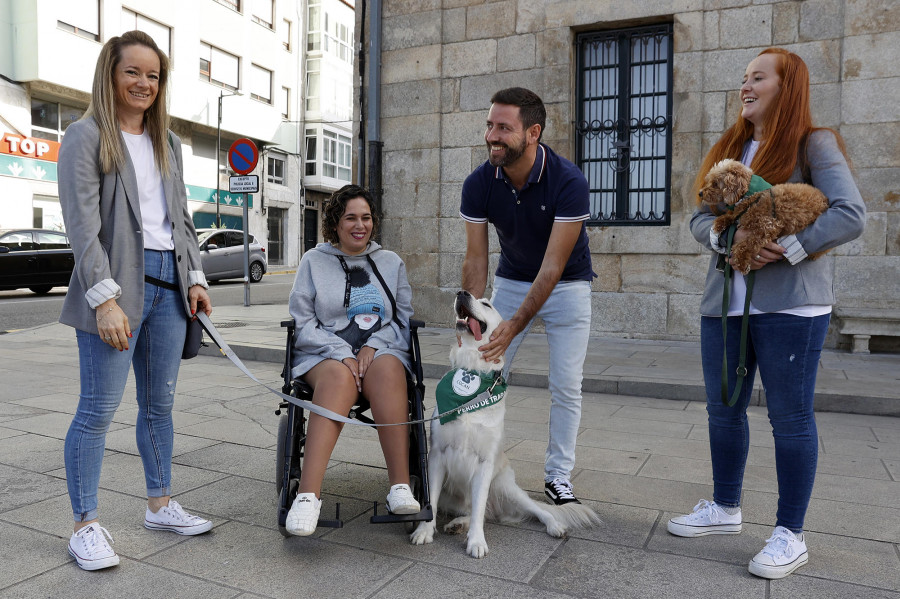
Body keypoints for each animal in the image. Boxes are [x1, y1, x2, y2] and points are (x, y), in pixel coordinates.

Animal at [414, 290, 596, 556]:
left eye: (486, 304)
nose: (461, 292)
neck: (473, 371)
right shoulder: (437, 455)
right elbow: (432, 502)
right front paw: (425, 531)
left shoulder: (485, 462)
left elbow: (479, 508)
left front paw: (476, 542)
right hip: (455, 494)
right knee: (481, 513)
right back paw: (457, 524)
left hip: (506, 487)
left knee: (529, 510)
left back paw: (555, 525)